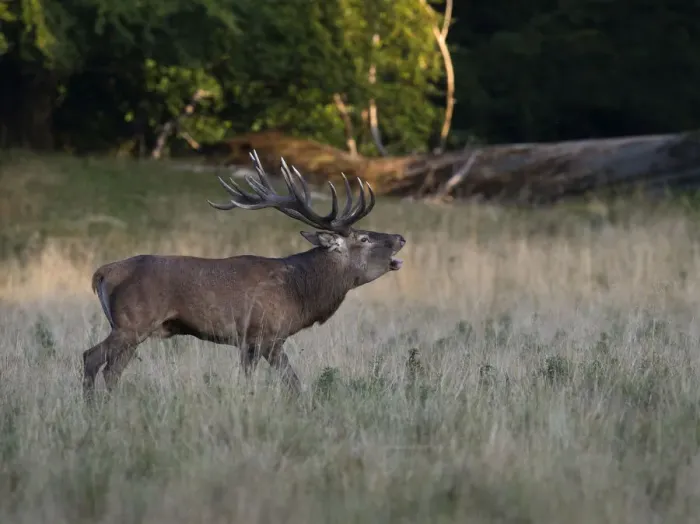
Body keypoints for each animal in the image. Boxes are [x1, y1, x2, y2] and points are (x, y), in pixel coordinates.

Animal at [82, 151, 406, 402]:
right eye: (364, 238)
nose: (400, 237)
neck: (300, 292)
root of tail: (103, 272)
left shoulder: (249, 342)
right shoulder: (266, 334)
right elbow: (292, 383)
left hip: (132, 331)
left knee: (112, 370)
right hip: (132, 323)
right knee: (92, 358)